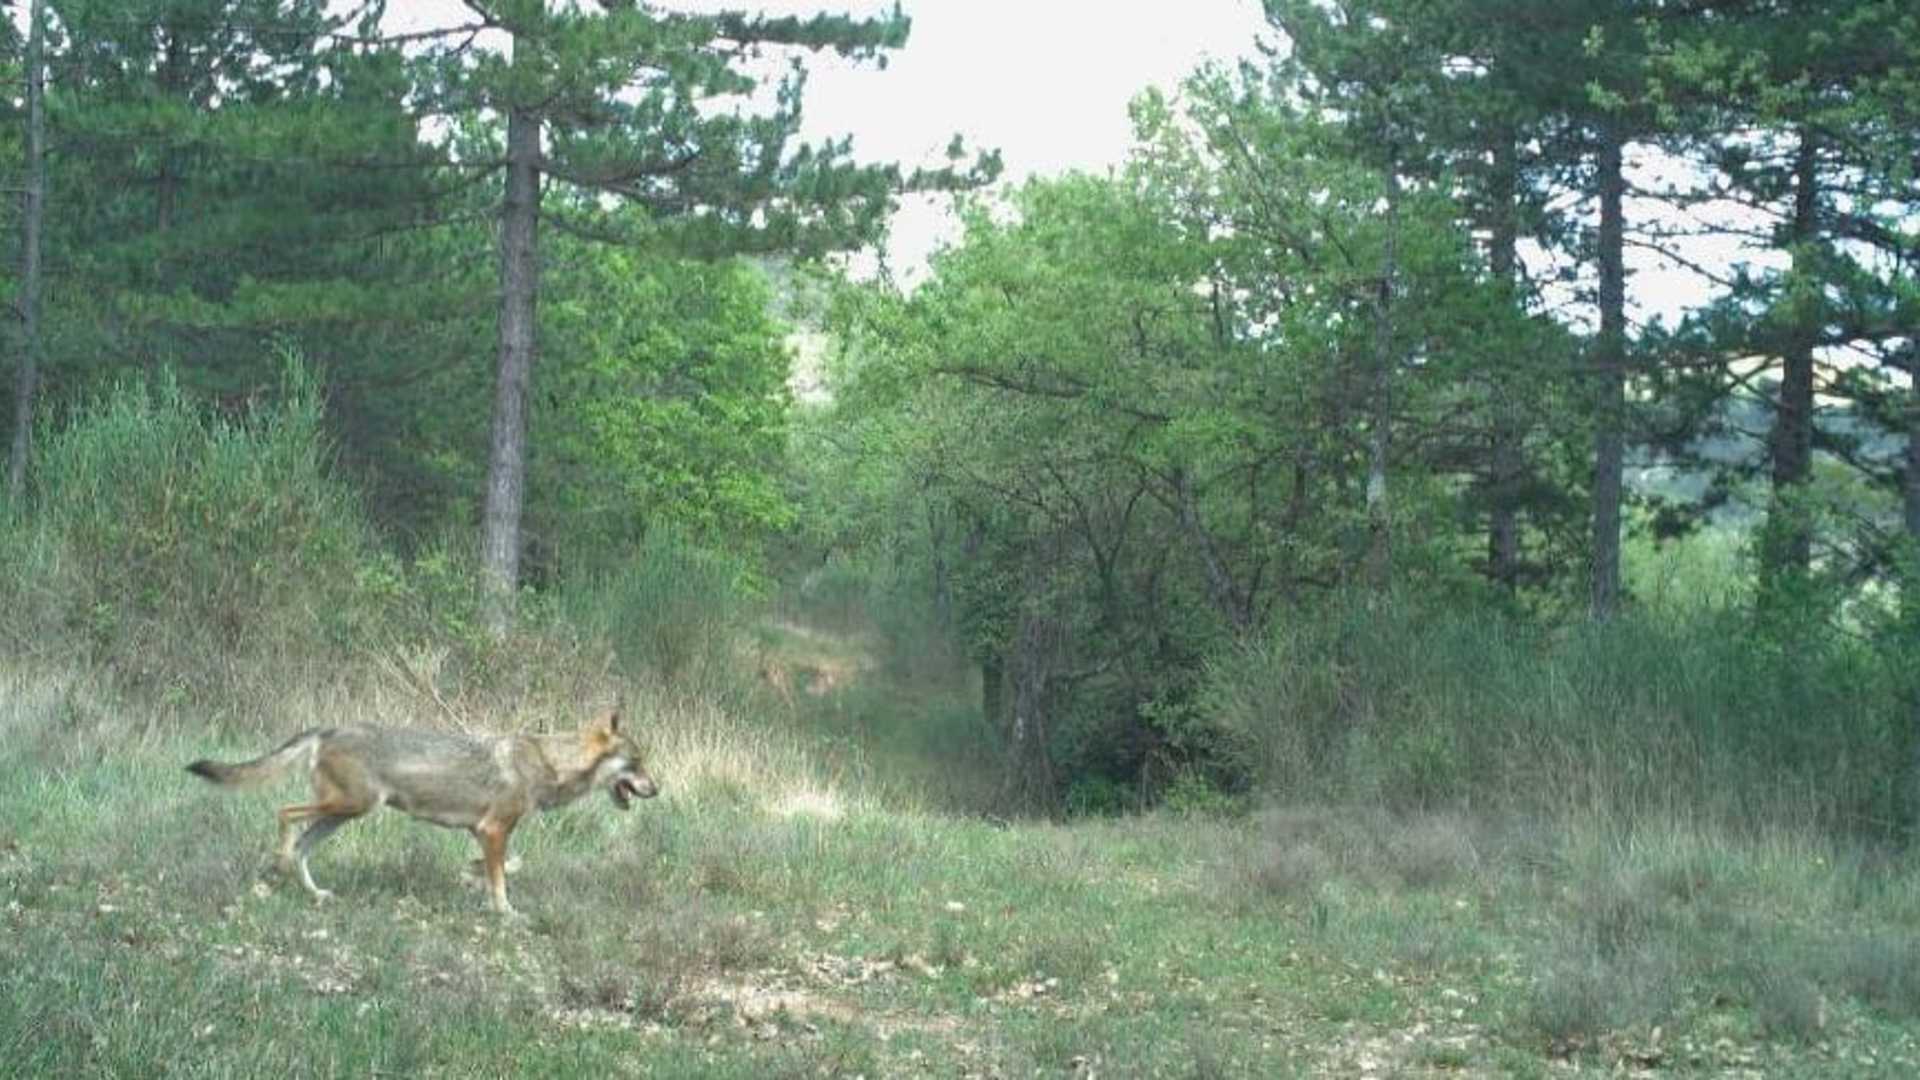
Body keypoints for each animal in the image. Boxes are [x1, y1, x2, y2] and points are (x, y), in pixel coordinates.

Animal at [185, 711, 660, 910]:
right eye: (637, 764)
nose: (656, 790)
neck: (548, 764)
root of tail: (328, 728)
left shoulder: (484, 834)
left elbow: (500, 869)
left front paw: (474, 884)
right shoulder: (493, 830)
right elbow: (502, 881)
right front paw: (507, 914)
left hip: (344, 814)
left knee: (302, 846)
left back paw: (314, 893)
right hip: (349, 806)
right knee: (285, 814)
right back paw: (279, 865)